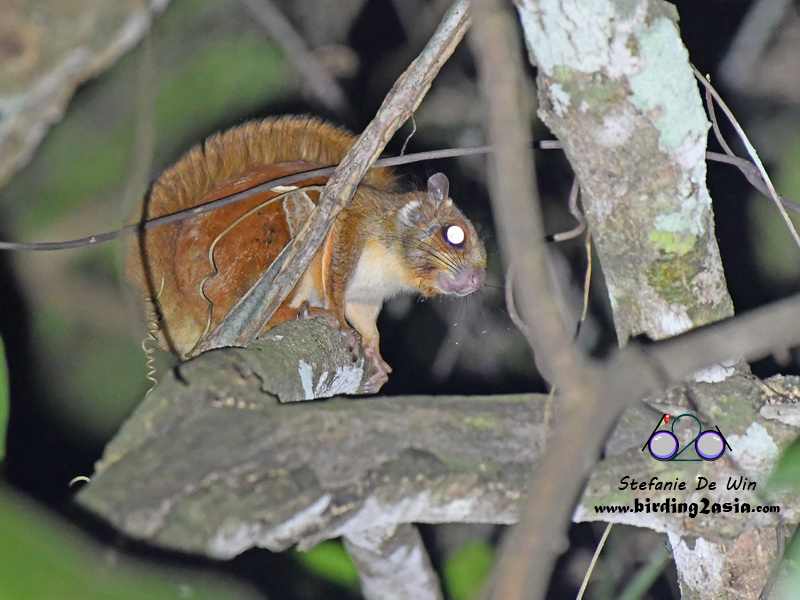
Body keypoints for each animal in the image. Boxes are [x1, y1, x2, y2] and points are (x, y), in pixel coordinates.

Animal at [127, 116, 486, 391]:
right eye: (454, 235)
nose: (477, 281)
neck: (394, 268)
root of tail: (186, 304)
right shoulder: (353, 218)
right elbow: (336, 274)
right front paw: (337, 319)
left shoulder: (366, 297)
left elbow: (366, 320)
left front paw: (375, 353)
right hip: (264, 244)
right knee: (239, 308)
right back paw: (298, 313)